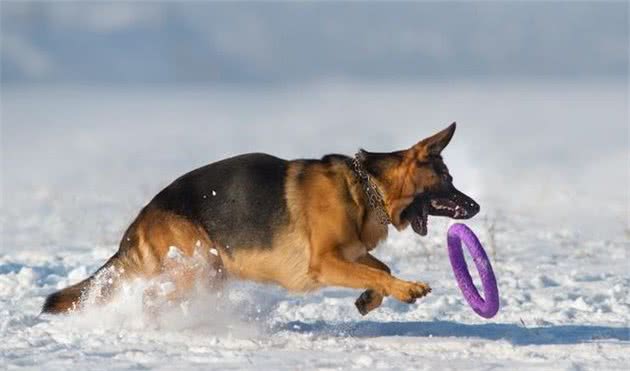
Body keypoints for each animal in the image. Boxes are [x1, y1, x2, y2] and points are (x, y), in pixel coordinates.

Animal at [43, 123, 478, 316]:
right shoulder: (325, 262)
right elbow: (379, 272)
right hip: (200, 267)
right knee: (151, 298)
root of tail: (138, 222)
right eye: (447, 180)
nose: (474, 208)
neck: (367, 185)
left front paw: (372, 297)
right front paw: (406, 289)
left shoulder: (348, 254)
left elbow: (379, 269)